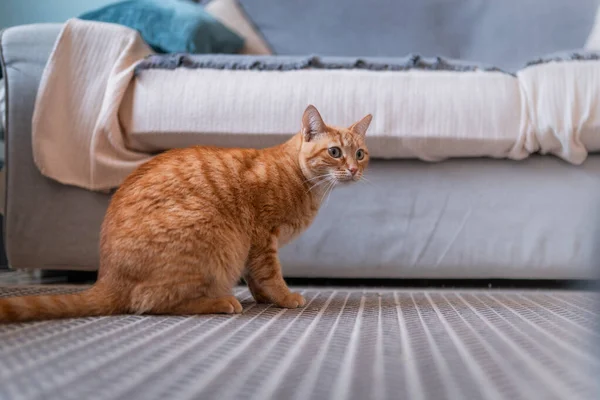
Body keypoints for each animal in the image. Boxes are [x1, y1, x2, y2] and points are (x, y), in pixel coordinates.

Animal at [0, 105, 370, 322]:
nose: (353, 169)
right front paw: (283, 297)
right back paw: (219, 302)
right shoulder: (262, 237)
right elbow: (270, 275)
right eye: (335, 152)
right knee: (148, 302)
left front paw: (265, 299)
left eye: (360, 153)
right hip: (213, 237)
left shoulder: (254, 247)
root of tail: (107, 277)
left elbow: (255, 278)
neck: (302, 180)